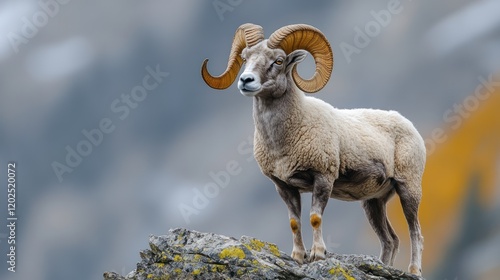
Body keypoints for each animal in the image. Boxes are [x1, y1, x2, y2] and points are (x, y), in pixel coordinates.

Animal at [201, 23, 424, 276]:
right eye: (245, 57)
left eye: (278, 60)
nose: (246, 80)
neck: (283, 142)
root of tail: (408, 125)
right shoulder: (284, 187)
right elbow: (294, 222)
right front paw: (298, 256)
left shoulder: (323, 178)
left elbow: (315, 218)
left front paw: (317, 254)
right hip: (374, 202)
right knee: (390, 239)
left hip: (408, 188)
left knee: (415, 231)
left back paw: (414, 271)